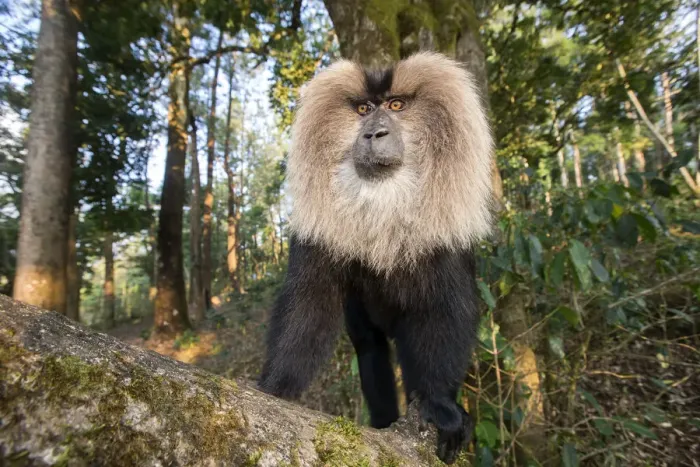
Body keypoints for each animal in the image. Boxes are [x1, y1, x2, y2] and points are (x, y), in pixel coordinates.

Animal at [258, 52, 494, 464]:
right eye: (364, 109)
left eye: (396, 106)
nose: (373, 134)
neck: (385, 198)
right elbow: (309, 304)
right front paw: (273, 388)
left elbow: (447, 311)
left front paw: (441, 406)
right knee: (370, 347)